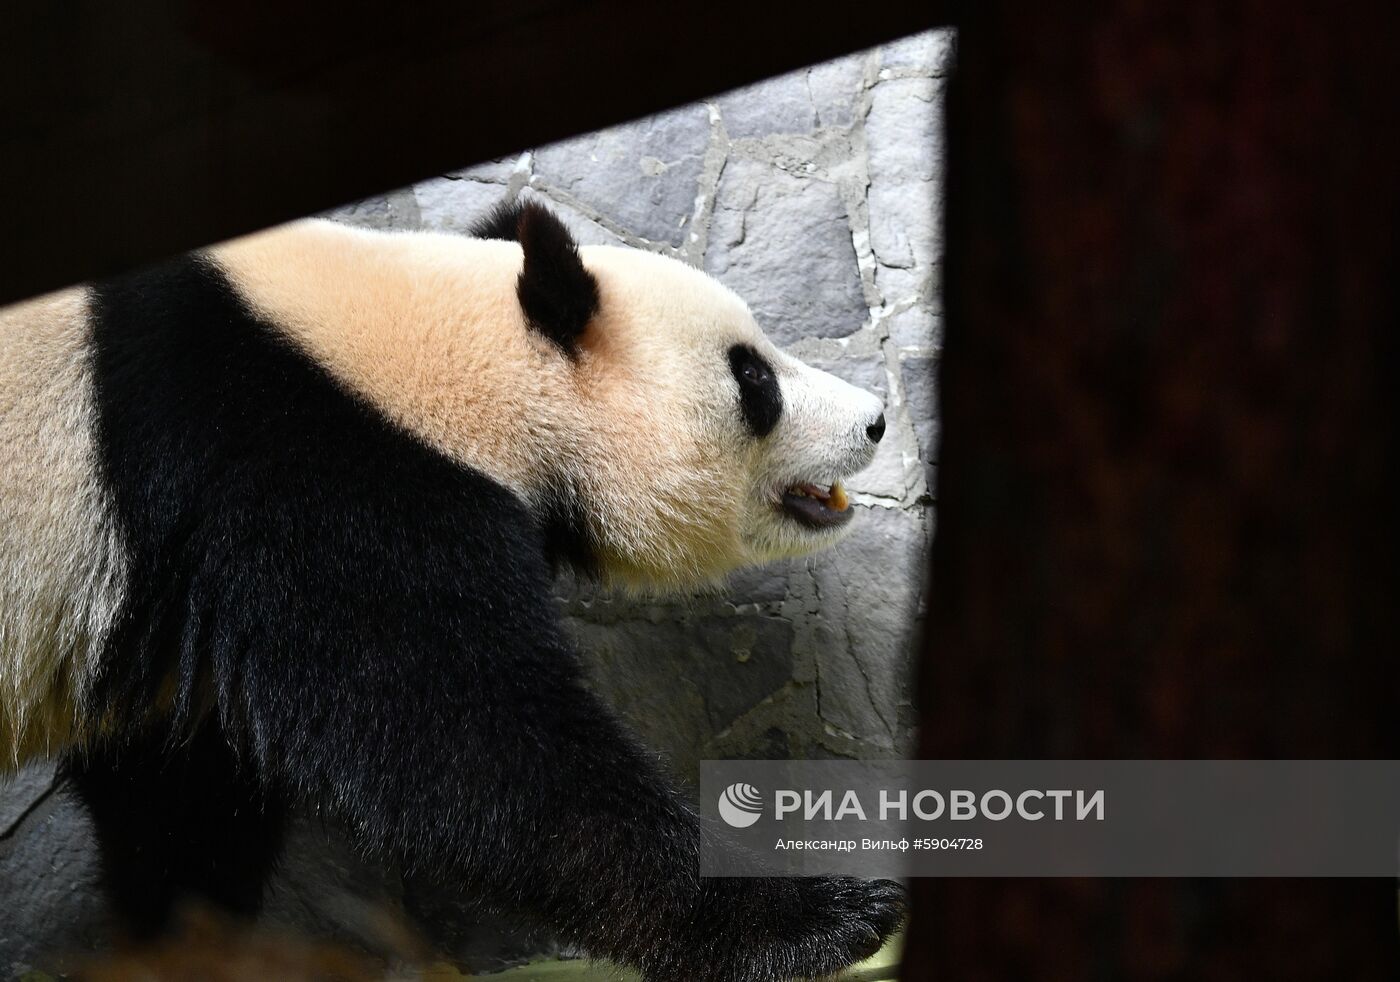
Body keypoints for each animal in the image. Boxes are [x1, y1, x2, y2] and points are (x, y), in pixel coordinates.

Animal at [0, 201, 896, 980]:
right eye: (753, 377)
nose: (877, 420)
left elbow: (178, 780)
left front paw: (189, 937)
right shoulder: (304, 468)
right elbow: (471, 744)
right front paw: (820, 919)